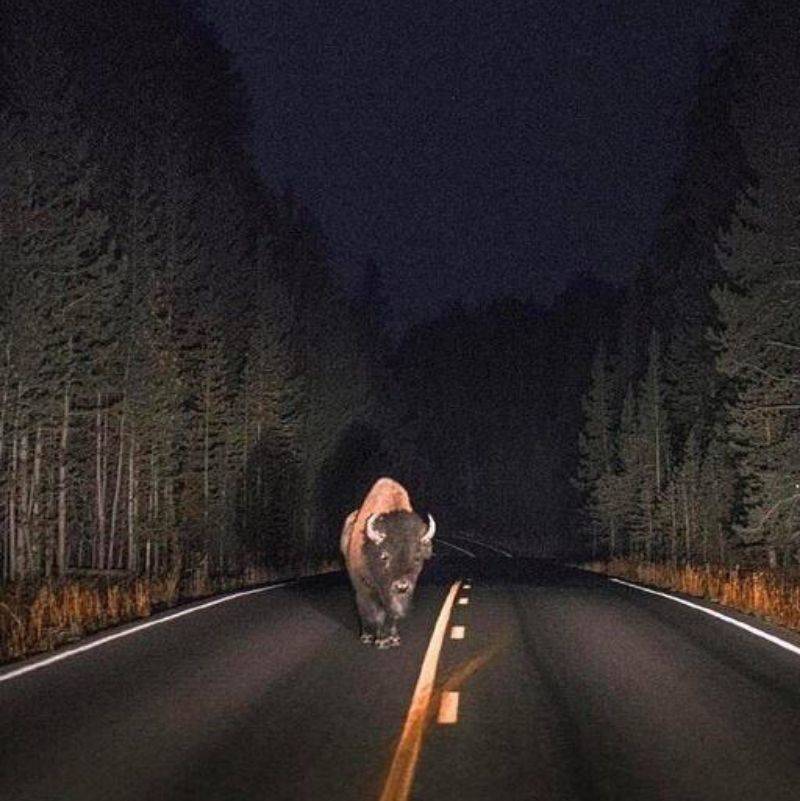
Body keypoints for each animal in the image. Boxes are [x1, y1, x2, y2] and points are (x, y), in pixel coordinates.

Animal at [340, 477, 435, 648]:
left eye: (417, 557)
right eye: (385, 556)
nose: (401, 586)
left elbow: (392, 614)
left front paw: (394, 638)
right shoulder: (368, 588)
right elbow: (376, 612)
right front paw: (381, 641)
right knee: (362, 608)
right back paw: (366, 636)